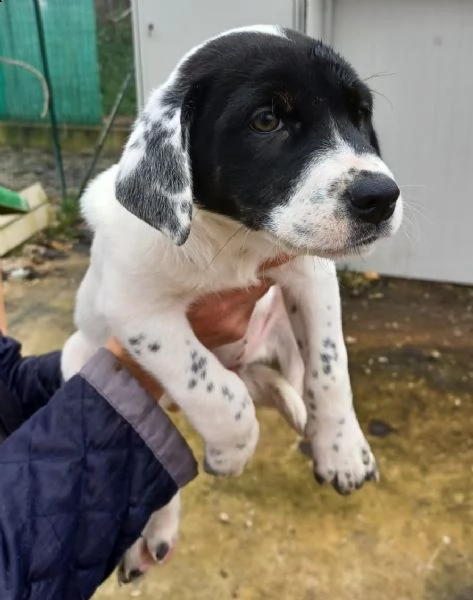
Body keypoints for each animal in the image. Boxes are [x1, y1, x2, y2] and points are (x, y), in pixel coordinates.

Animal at [61, 24, 402, 580]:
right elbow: (218, 393)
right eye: (266, 120)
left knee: (273, 379)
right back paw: (155, 532)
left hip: (276, 328)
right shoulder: (139, 310)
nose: (381, 198)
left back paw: (305, 421)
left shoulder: (311, 277)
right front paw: (231, 454)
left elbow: (330, 369)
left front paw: (343, 451)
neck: (235, 242)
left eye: (360, 114)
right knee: (160, 429)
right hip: (79, 356)